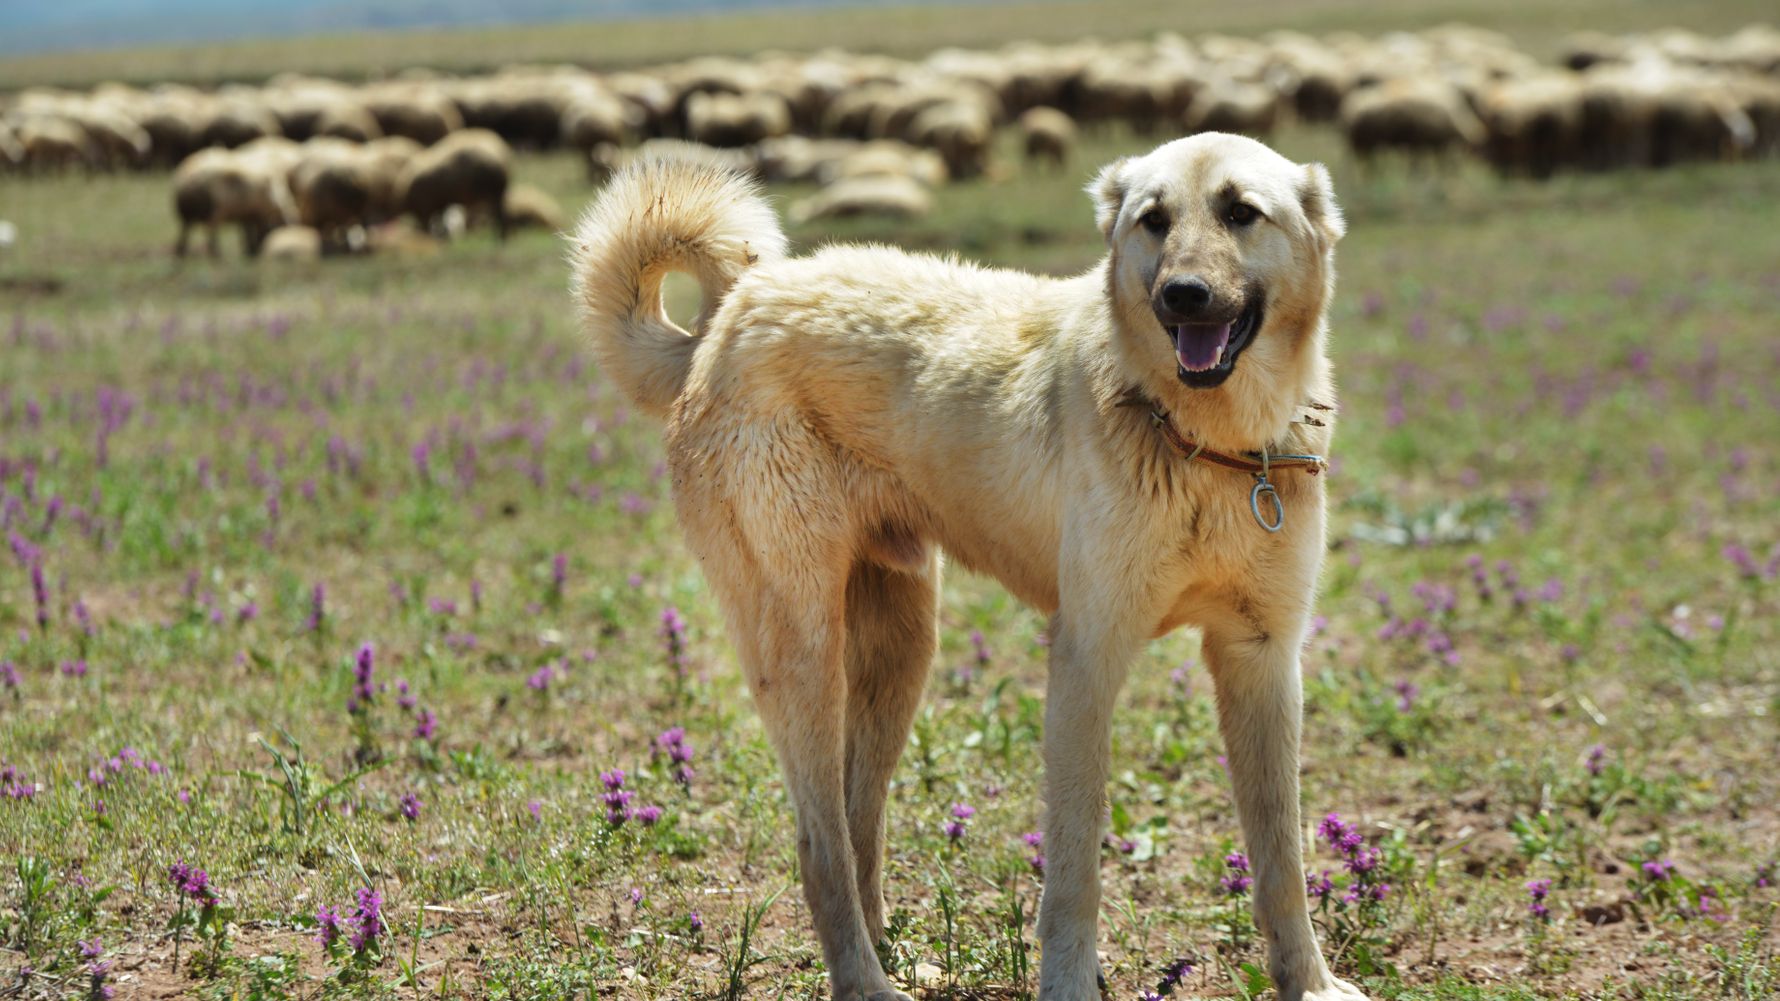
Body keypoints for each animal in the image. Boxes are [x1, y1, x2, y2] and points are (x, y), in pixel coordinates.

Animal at [569, 132, 1359, 997]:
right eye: (1153, 220)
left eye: (1241, 212)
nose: (1183, 295)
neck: (1210, 445)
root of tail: (734, 308)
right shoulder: (1087, 657)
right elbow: (1076, 863)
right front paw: (1069, 983)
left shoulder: (1262, 659)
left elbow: (1281, 856)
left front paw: (1310, 981)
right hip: (803, 652)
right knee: (819, 844)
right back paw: (866, 982)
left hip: (900, 649)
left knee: (859, 823)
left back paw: (897, 956)